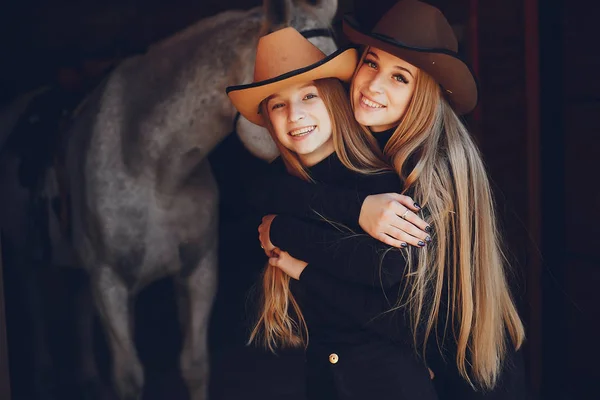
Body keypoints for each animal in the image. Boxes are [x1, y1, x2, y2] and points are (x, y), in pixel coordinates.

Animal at [63, 1, 340, 398]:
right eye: (304, 93)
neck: (152, 166)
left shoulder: (199, 269)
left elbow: (194, 365)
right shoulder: (108, 282)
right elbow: (128, 376)